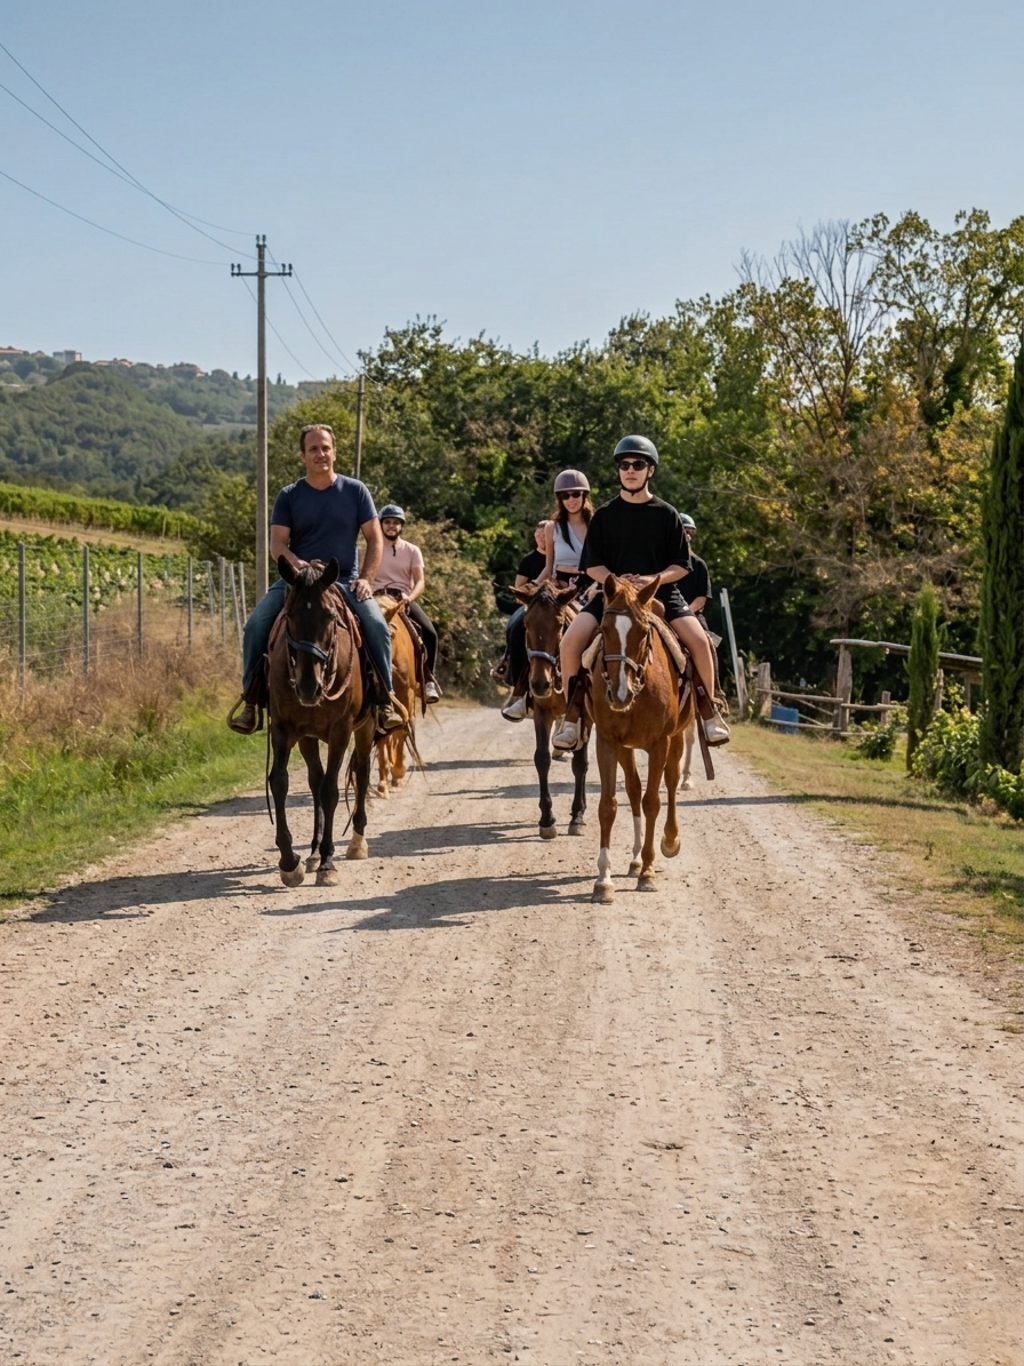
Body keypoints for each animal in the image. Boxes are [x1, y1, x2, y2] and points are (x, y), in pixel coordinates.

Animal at [267, 557, 375, 886]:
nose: (307, 686)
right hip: (308, 736)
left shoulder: (341, 730)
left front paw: (328, 863)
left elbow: (330, 790)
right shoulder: (283, 728)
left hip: (365, 728)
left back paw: (356, 843)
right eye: (289, 614)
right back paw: (313, 853)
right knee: (315, 780)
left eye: (329, 616)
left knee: (361, 773)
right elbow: (280, 782)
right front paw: (290, 862)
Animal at [513, 581, 589, 839]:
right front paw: (547, 819)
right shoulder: (542, 713)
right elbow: (542, 759)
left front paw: (577, 816)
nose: (539, 683)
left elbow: (580, 764)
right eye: (526, 624)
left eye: (559, 624)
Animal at [586, 574, 697, 903]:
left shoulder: (660, 743)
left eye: (644, 631)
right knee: (633, 789)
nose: (620, 693)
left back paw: (669, 841)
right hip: (627, 747)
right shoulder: (608, 741)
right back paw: (634, 860)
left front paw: (648, 872)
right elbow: (608, 805)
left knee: (670, 782)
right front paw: (604, 880)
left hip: (676, 738)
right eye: (603, 629)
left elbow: (652, 802)